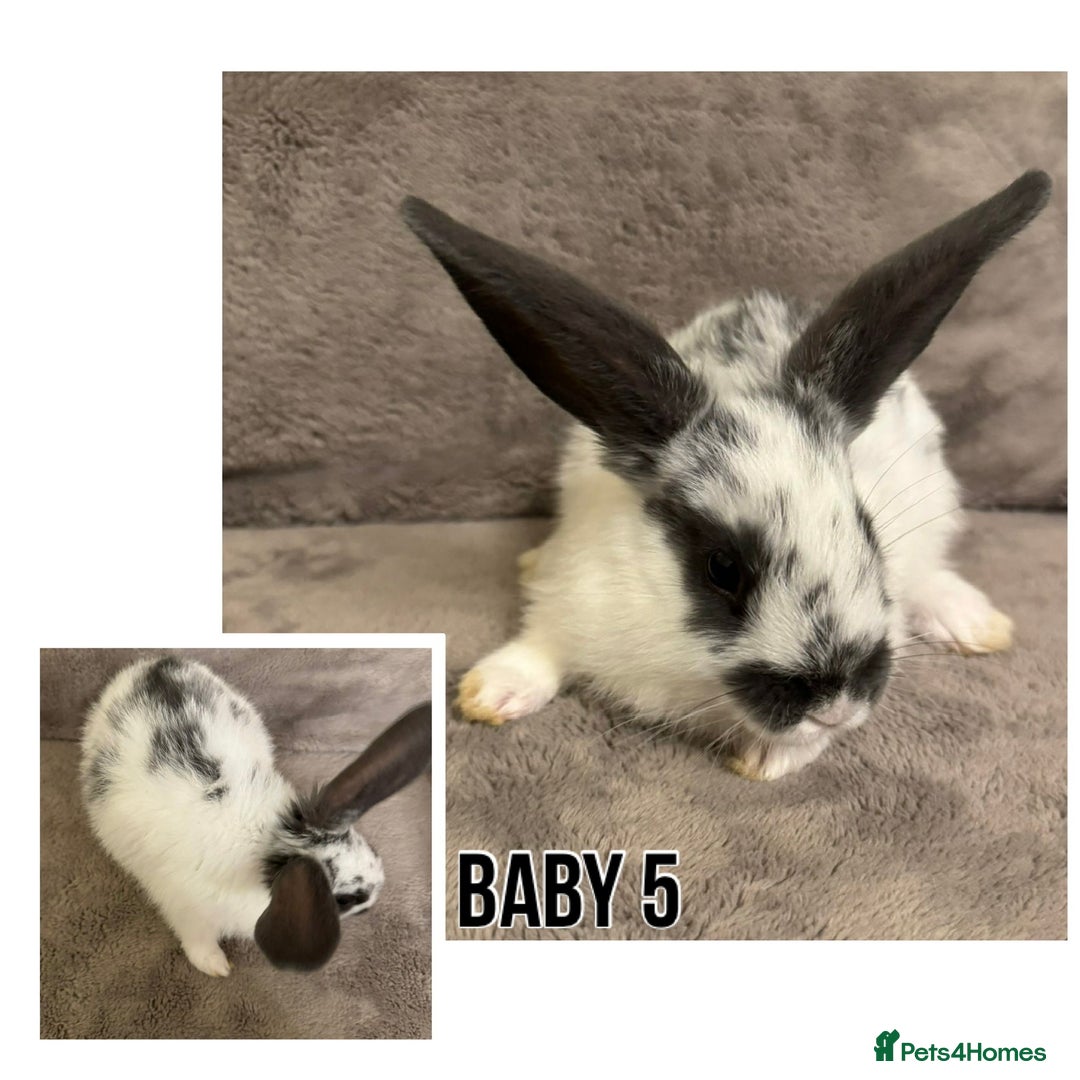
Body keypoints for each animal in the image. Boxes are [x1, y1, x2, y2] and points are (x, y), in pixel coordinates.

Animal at [81, 656, 431, 975]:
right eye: (344, 900)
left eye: (370, 847)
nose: (376, 895)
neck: (269, 842)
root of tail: (157, 663)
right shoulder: (187, 911)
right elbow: (197, 941)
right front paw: (217, 967)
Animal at [402, 170, 1051, 781]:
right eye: (723, 569)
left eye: (869, 535)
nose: (836, 703)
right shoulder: (575, 593)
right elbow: (541, 644)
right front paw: (490, 693)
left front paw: (768, 759)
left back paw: (974, 623)